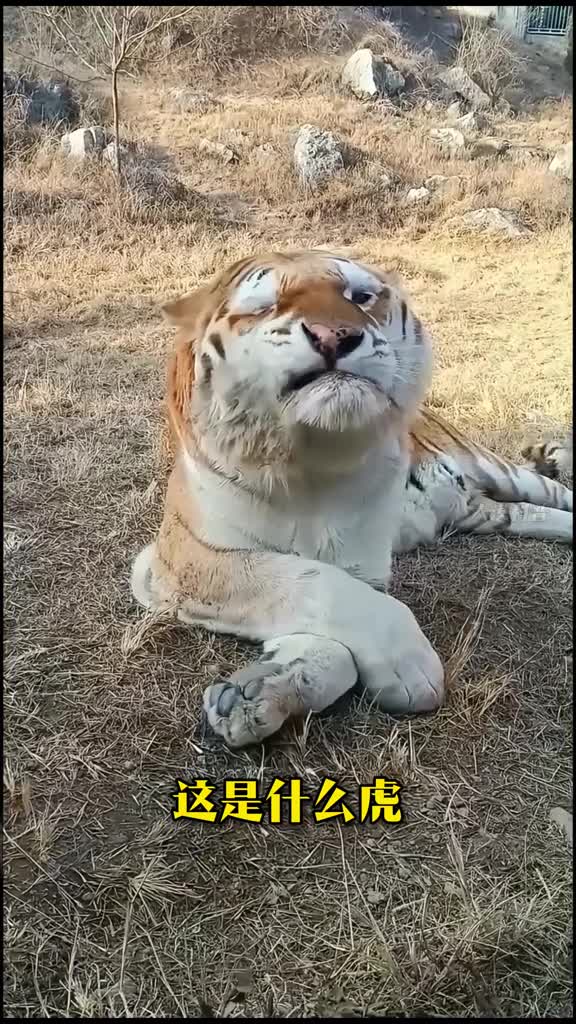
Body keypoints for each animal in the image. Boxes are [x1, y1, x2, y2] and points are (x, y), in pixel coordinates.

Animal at [131, 249, 573, 749]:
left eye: (361, 296)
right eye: (265, 306)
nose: (335, 335)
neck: (311, 462)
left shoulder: (361, 562)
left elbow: (334, 594)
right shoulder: (186, 558)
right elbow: (312, 586)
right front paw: (253, 693)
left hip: (497, 471)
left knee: (556, 492)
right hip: (491, 514)